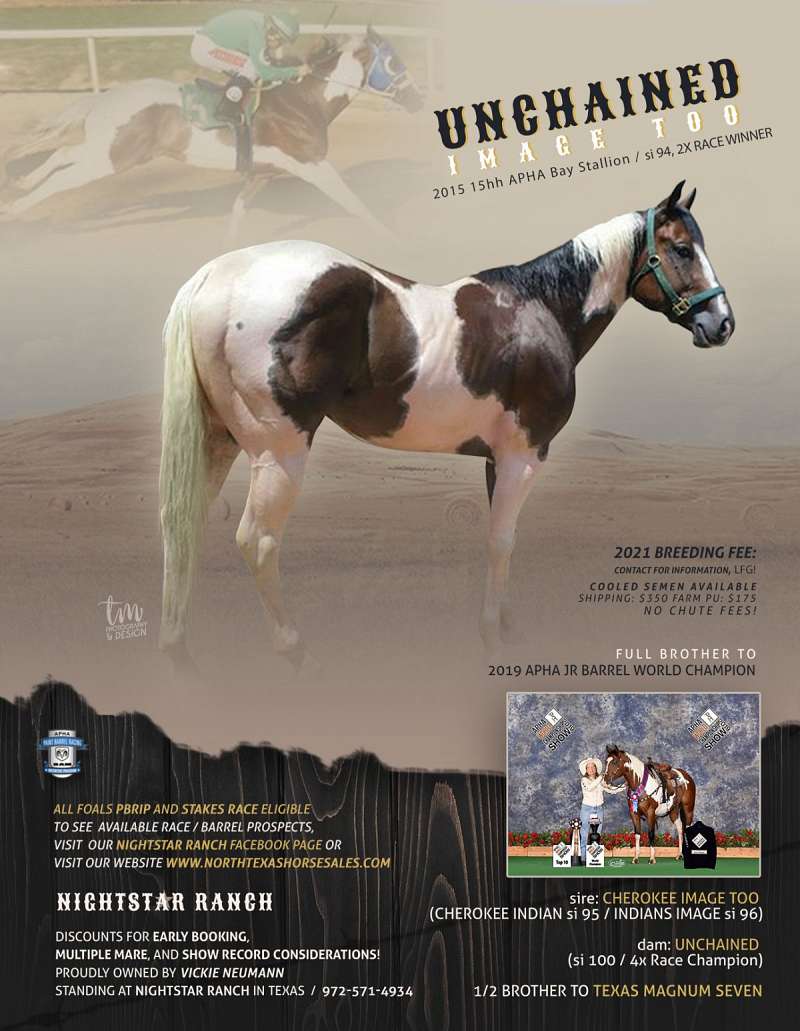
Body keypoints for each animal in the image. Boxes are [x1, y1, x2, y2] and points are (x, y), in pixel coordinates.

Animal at [4, 28, 422, 231]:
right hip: (115, 158)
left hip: (106, 148)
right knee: (62, 179)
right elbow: (356, 205)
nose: (418, 99)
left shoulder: (262, 174)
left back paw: (22, 183)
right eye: (395, 62)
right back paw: (16, 209)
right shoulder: (313, 165)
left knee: (63, 153)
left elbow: (237, 214)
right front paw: (394, 239)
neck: (306, 102)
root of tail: (111, 95)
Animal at [157, 180, 734, 671]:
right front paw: (492, 636)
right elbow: (501, 540)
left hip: (218, 441)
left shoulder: (495, 460)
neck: (541, 309)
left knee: (182, 524)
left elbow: (504, 538)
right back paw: (294, 649)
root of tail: (216, 277)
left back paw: (178, 651)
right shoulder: (523, 456)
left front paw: (507, 625)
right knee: (257, 540)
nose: (722, 323)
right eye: (682, 248)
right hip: (278, 452)